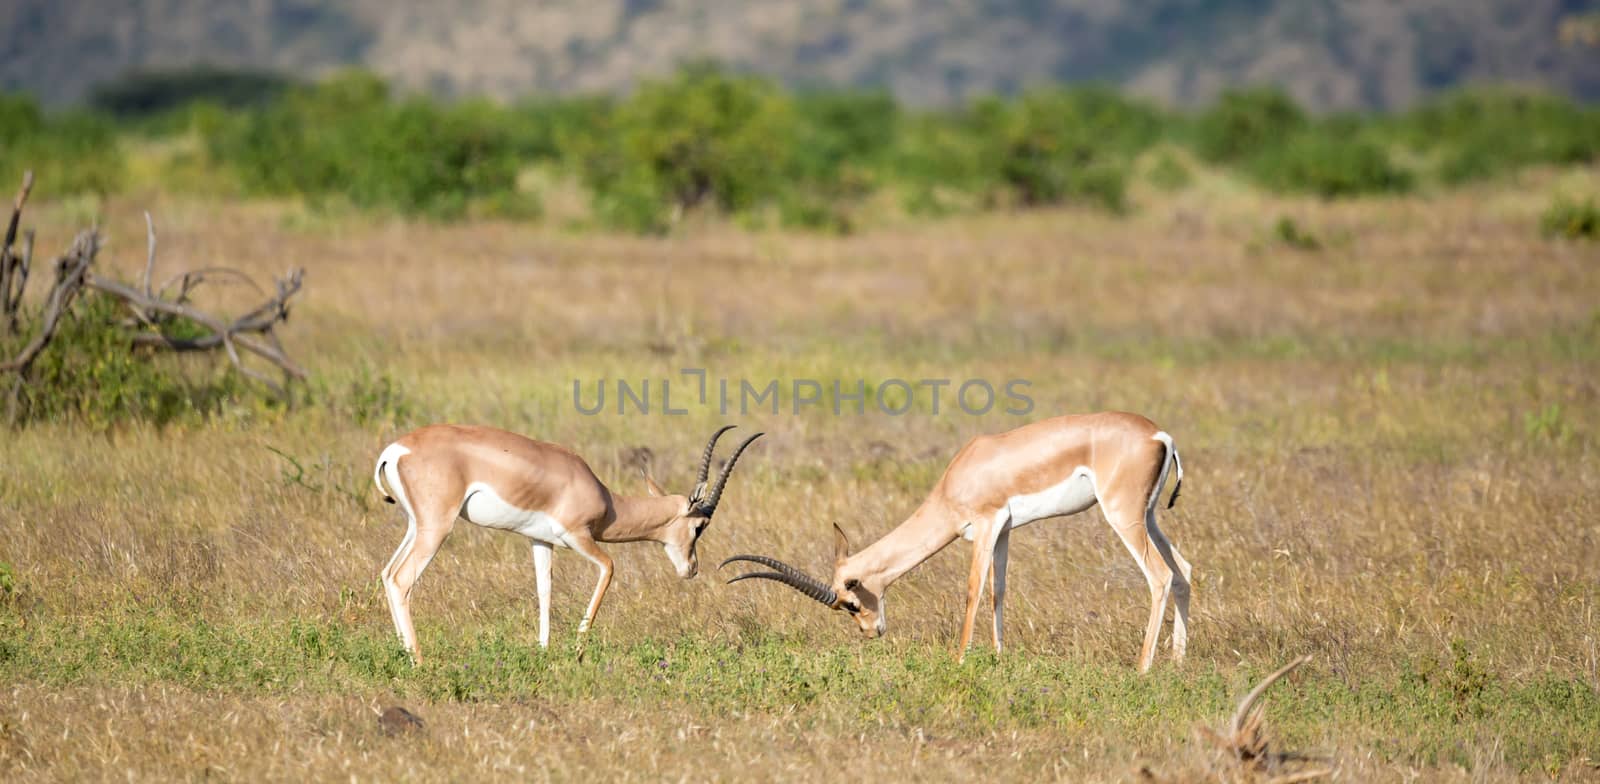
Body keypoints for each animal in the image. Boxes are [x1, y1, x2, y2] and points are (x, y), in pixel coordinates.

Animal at [371, 422, 758, 662]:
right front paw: (578, 651)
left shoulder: (539, 541)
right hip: (437, 528)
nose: (691, 568)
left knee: (388, 575)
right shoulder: (578, 536)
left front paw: (543, 652)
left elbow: (544, 590)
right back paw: (418, 660)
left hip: (416, 526)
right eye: (700, 526)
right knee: (403, 579)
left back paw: (401, 652)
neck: (607, 501)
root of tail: (396, 450)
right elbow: (609, 568)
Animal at [726, 409, 1190, 675]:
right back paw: (1179, 662)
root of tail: (1159, 436)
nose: (871, 632)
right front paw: (998, 659)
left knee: (1160, 575)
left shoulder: (985, 524)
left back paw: (1142, 668)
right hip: (1148, 517)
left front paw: (960, 659)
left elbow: (972, 591)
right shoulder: (1004, 531)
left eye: (852, 603)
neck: (960, 476)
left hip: (1122, 516)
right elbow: (998, 591)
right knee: (1183, 570)